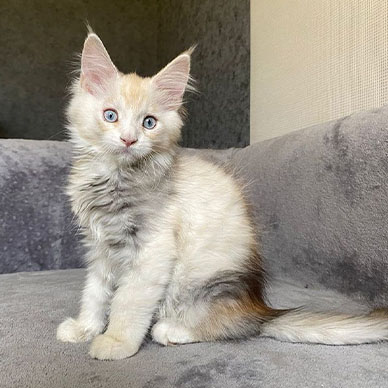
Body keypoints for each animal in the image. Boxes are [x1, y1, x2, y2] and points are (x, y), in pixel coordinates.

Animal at [56, 31, 388, 360]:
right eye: (110, 115)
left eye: (149, 122)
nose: (128, 139)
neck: (116, 177)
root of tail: (260, 309)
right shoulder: (100, 248)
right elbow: (95, 293)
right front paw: (84, 328)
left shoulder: (152, 249)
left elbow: (127, 301)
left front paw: (116, 342)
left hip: (200, 281)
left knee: (228, 326)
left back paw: (172, 330)